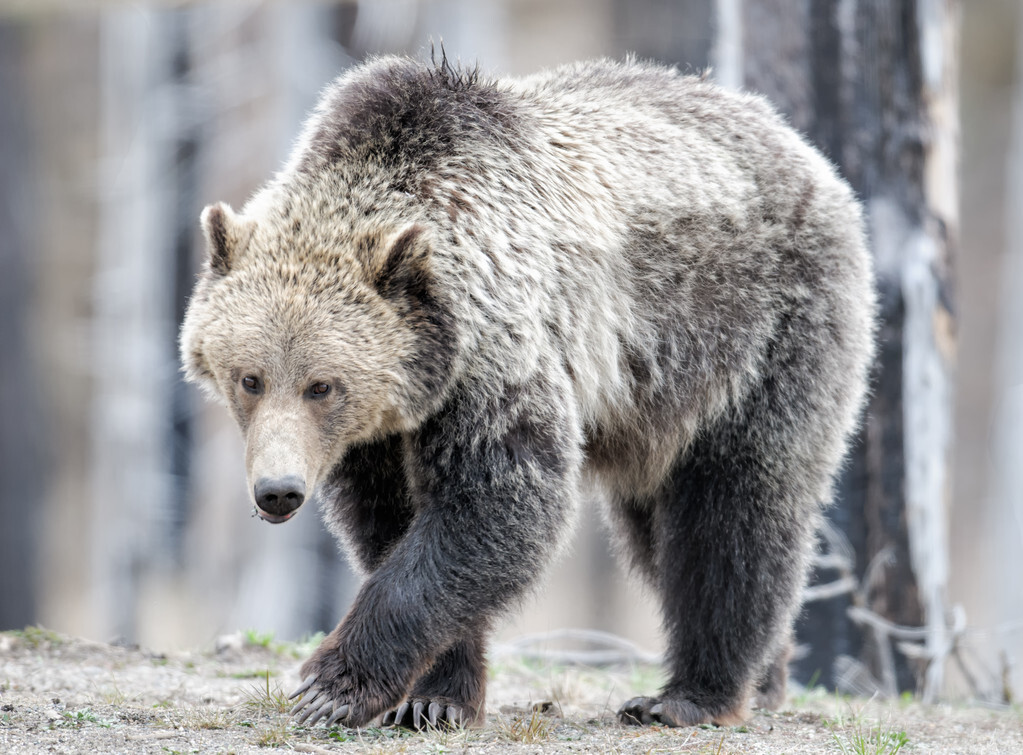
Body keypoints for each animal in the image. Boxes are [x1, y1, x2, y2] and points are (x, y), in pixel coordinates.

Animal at [179, 54, 875, 730]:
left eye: (321, 385)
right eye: (249, 379)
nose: (278, 491)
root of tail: (800, 145)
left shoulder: (497, 353)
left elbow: (500, 501)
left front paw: (330, 688)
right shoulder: (379, 432)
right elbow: (391, 525)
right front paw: (433, 696)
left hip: (758, 334)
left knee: (734, 510)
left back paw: (690, 695)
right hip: (655, 407)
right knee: (657, 532)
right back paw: (767, 677)